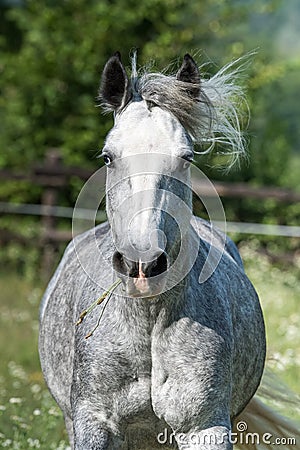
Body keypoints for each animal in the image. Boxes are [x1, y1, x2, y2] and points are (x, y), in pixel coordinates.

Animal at [39, 53, 268, 450]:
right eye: (108, 157)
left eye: (186, 158)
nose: (140, 263)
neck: (146, 322)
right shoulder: (94, 424)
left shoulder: (205, 427)